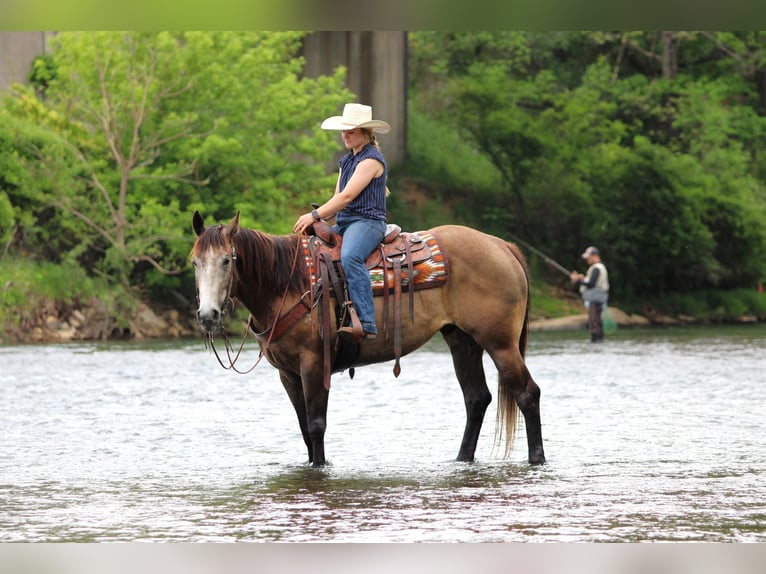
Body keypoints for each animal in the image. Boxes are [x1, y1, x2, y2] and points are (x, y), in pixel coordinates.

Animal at [191, 211, 545, 467]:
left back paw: (536, 459)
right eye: (195, 262)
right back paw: (461, 459)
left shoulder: (314, 363)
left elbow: (317, 424)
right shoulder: (287, 373)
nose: (207, 315)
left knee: (527, 393)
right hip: (462, 341)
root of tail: (502, 246)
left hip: (500, 344)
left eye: (227, 260)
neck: (287, 284)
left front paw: (320, 467)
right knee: (476, 399)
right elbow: (304, 428)